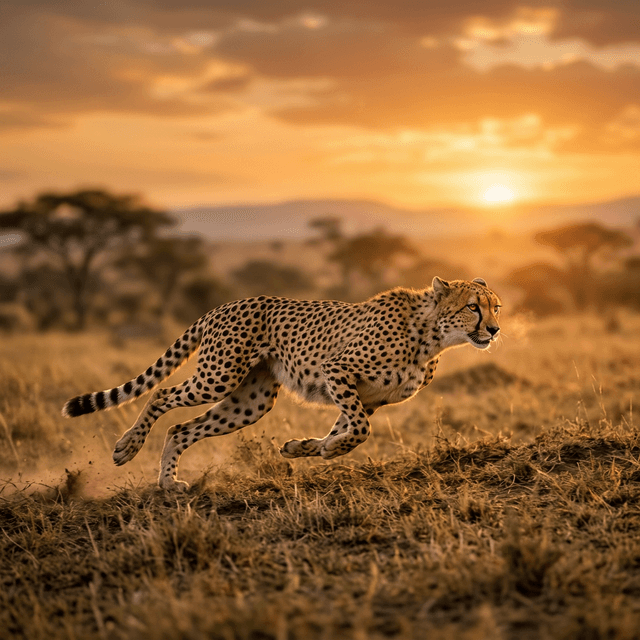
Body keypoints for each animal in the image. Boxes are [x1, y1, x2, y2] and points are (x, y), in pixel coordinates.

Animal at [62, 277, 501, 490]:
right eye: (472, 307)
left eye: (496, 307)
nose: (495, 330)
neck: (432, 335)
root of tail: (225, 305)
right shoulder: (336, 370)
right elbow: (359, 429)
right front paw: (325, 450)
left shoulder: (369, 397)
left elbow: (347, 428)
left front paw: (305, 448)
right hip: (218, 377)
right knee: (162, 393)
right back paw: (127, 447)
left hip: (250, 401)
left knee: (181, 429)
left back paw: (167, 482)